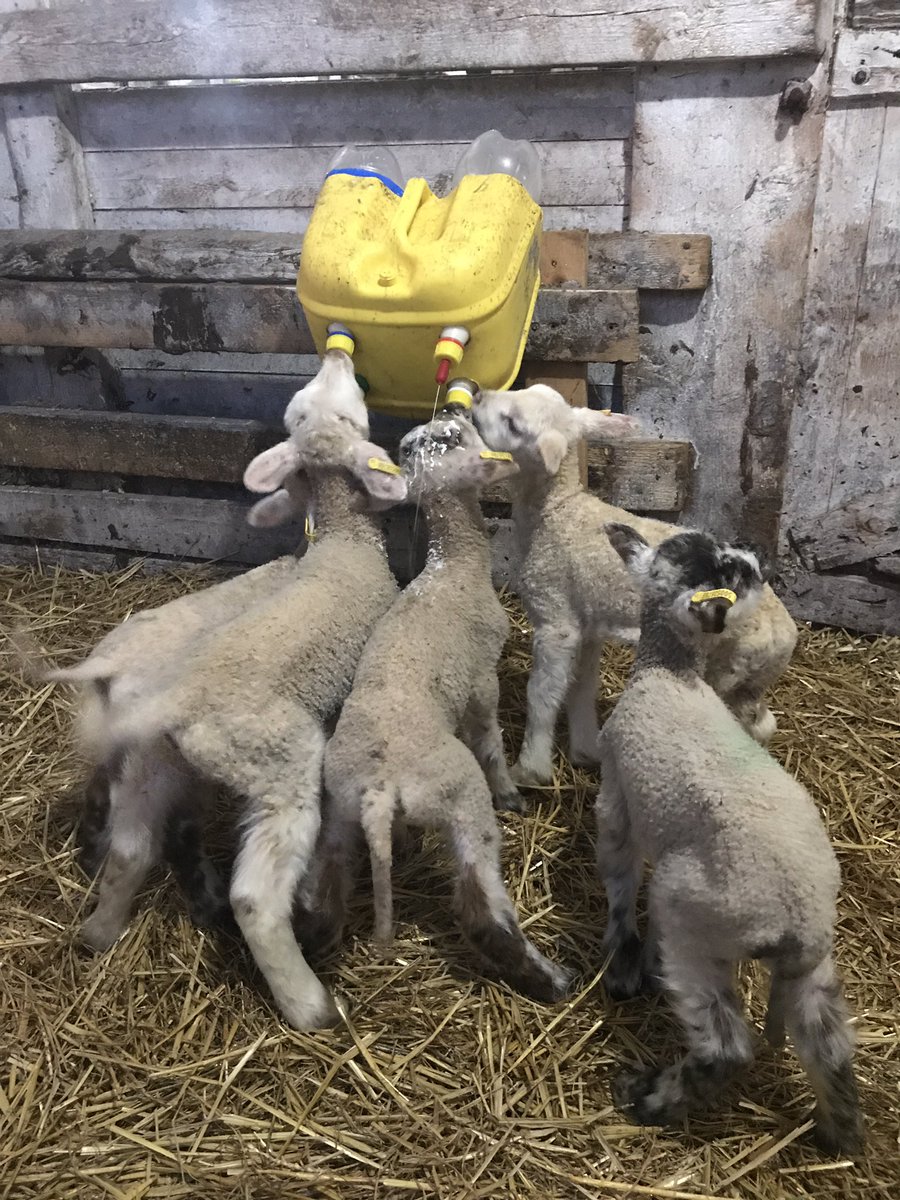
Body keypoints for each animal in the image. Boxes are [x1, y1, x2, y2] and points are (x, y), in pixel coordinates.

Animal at [27, 350, 407, 1030]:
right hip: (279, 763)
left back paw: (99, 930)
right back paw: (310, 1003)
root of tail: (171, 700)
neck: (343, 539)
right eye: (342, 414)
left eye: (302, 412)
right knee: (255, 895)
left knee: (131, 847)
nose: (337, 355)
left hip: (152, 764)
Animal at [301, 412, 572, 1004]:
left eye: (431, 441)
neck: (455, 566)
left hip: (340, 811)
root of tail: (381, 790)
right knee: (480, 903)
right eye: (456, 440)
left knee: (327, 892)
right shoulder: (483, 676)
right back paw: (548, 978)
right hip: (459, 798)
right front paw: (510, 791)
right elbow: (490, 737)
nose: (455, 413)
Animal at [469, 384, 798, 785]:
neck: (558, 511)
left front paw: (531, 768)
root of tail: (786, 637)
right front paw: (585, 748)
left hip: (728, 670)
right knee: (764, 723)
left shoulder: (556, 618)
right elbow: (582, 686)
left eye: (512, 424)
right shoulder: (587, 623)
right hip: (748, 680)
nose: (476, 394)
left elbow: (543, 695)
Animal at [595, 522, 863, 1156]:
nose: (760, 560)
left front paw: (622, 965)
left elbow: (618, 879)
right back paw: (841, 1138)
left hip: (693, 925)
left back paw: (647, 1097)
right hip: (812, 968)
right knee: (830, 1046)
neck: (668, 673)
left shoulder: (615, 795)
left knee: (726, 1047)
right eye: (728, 567)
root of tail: (799, 922)